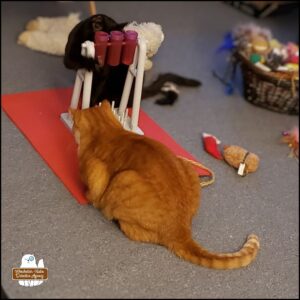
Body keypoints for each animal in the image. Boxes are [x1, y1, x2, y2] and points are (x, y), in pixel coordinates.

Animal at [69, 101, 258, 270]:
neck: (108, 130)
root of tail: (182, 229)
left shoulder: (96, 172)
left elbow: (92, 195)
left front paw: (86, 195)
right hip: (187, 167)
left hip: (124, 179)